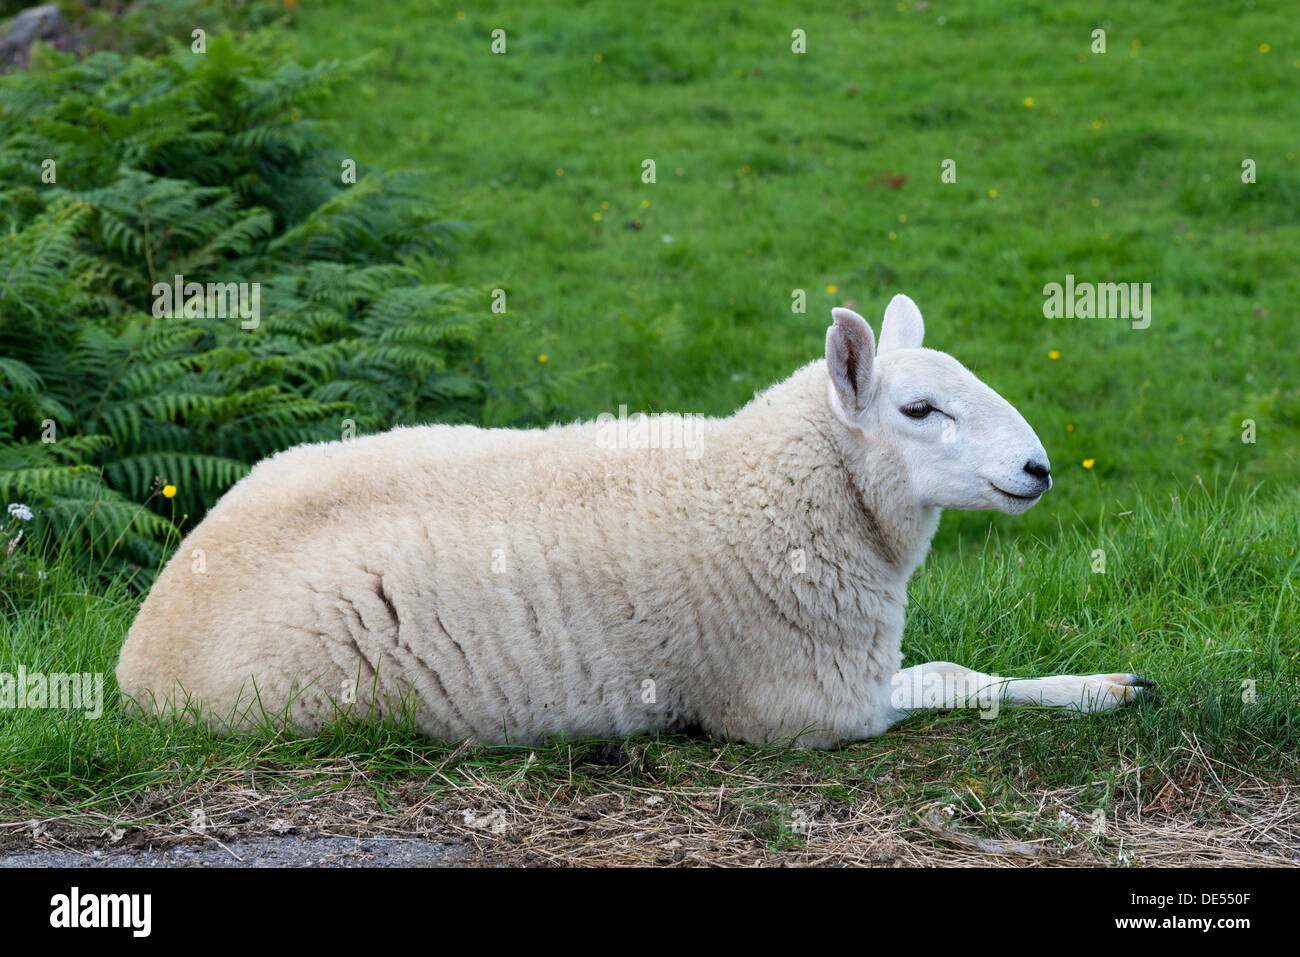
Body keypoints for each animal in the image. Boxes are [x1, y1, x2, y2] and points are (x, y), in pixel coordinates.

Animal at [116, 293, 1154, 748]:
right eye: (919, 410)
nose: (1038, 467)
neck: (770, 485)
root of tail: (138, 647)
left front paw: (1111, 683)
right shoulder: (802, 704)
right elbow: (948, 676)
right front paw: (1098, 690)